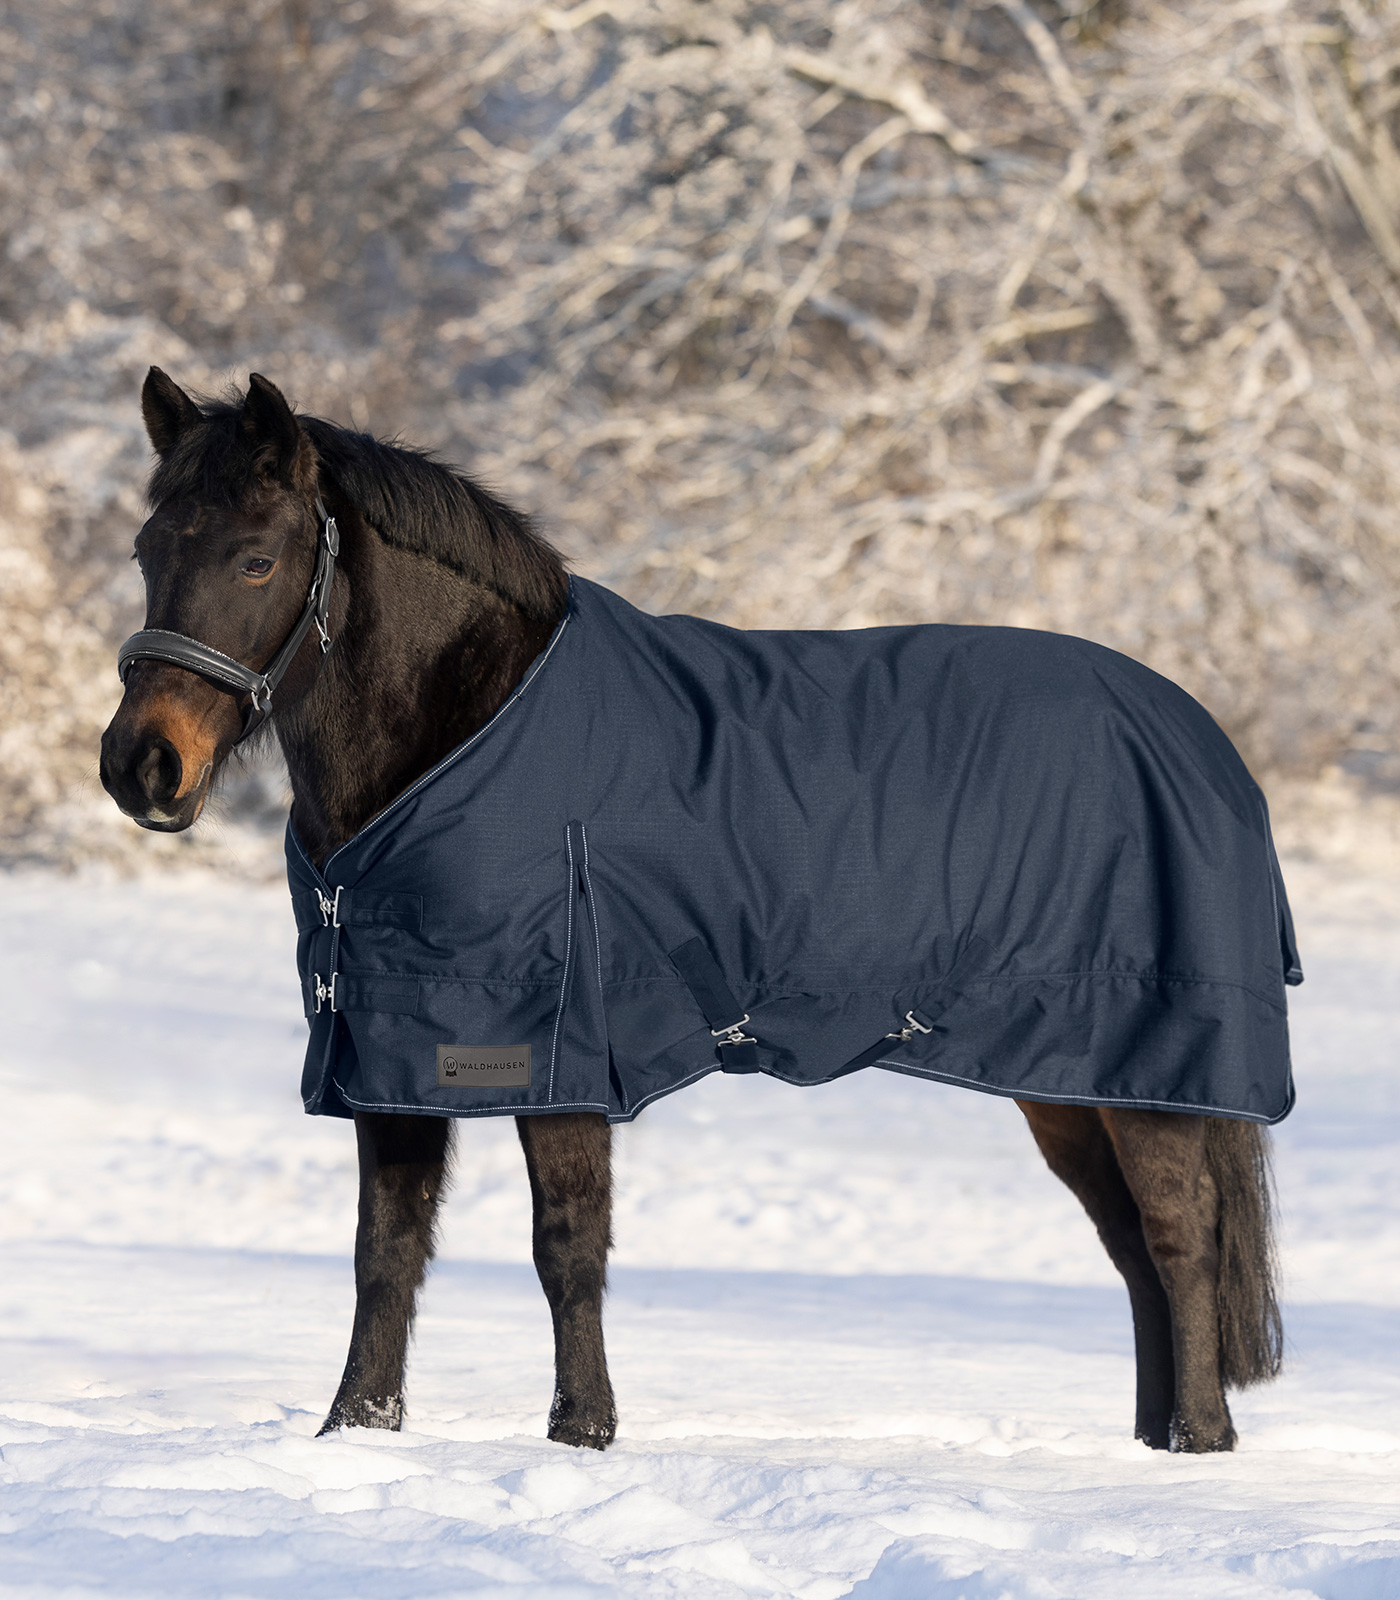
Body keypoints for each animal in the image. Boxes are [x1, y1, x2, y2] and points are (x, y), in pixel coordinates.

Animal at [99, 367, 1285, 1454]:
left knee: (1179, 1235)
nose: (141, 766)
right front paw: (357, 1430)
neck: (468, 735)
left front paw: (582, 1431)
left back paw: (1193, 1442)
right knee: (1131, 1246)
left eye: (256, 557)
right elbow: (383, 1251)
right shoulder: (390, 1049)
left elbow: (566, 1245)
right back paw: (1161, 1442)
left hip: (1140, 1067)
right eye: (148, 551)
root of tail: (1197, 737)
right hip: (1067, 1082)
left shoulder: (555, 1051)